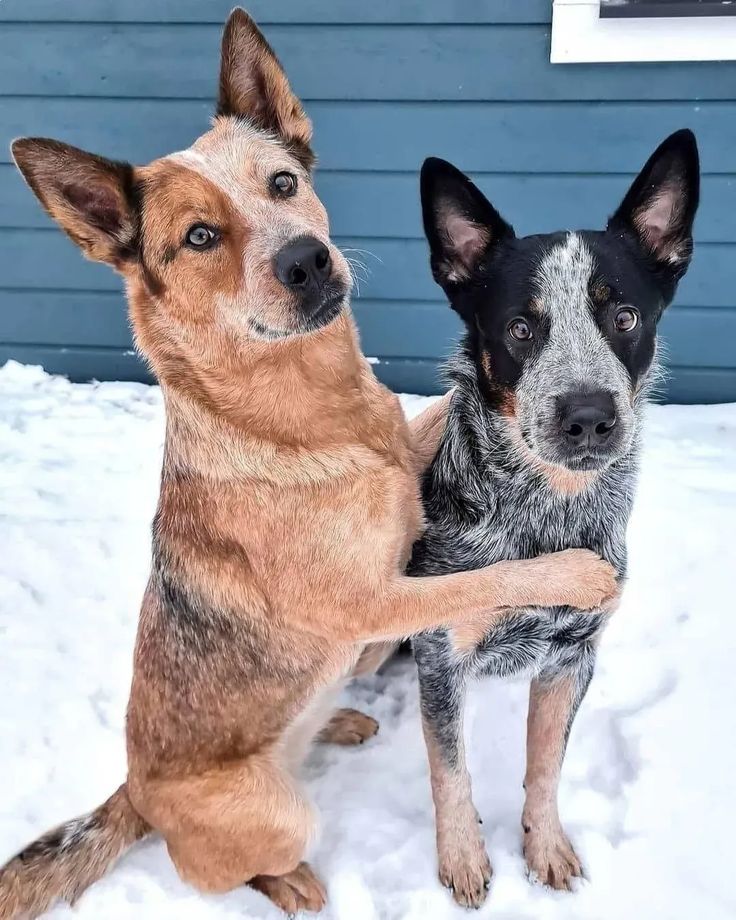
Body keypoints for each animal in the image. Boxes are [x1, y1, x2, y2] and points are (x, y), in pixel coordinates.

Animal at [412, 127, 700, 904]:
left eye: (624, 317)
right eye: (519, 328)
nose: (590, 417)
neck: (544, 515)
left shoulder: (573, 654)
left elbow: (546, 765)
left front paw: (545, 848)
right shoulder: (439, 653)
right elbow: (450, 770)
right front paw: (463, 861)